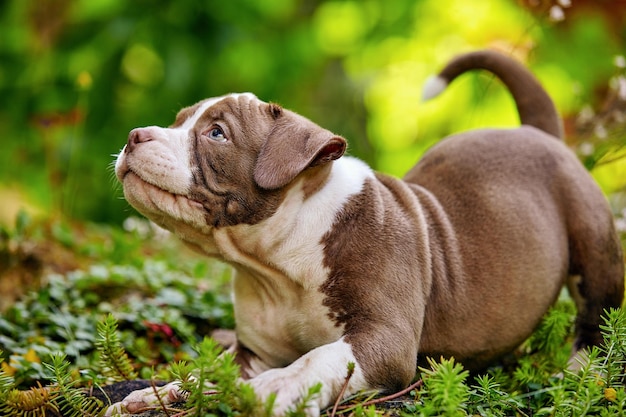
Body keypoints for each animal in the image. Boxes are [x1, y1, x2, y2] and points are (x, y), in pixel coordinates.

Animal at [109, 50, 620, 414]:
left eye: (216, 133)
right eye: (178, 121)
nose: (134, 135)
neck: (278, 263)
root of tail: (540, 134)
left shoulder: (387, 340)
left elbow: (319, 357)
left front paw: (282, 386)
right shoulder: (252, 352)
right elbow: (210, 371)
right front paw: (159, 393)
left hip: (594, 246)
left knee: (597, 315)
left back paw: (582, 372)